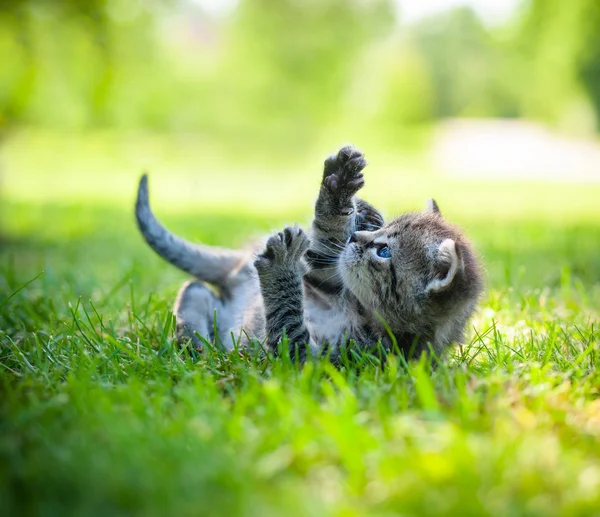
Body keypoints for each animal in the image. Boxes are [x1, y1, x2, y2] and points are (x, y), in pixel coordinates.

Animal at [136, 146, 482, 362]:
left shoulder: (314, 360)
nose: (356, 235)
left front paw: (280, 267)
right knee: (191, 297)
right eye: (381, 233)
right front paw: (340, 188)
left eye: (384, 251)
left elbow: (287, 326)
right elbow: (323, 248)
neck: (360, 312)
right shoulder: (324, 277)